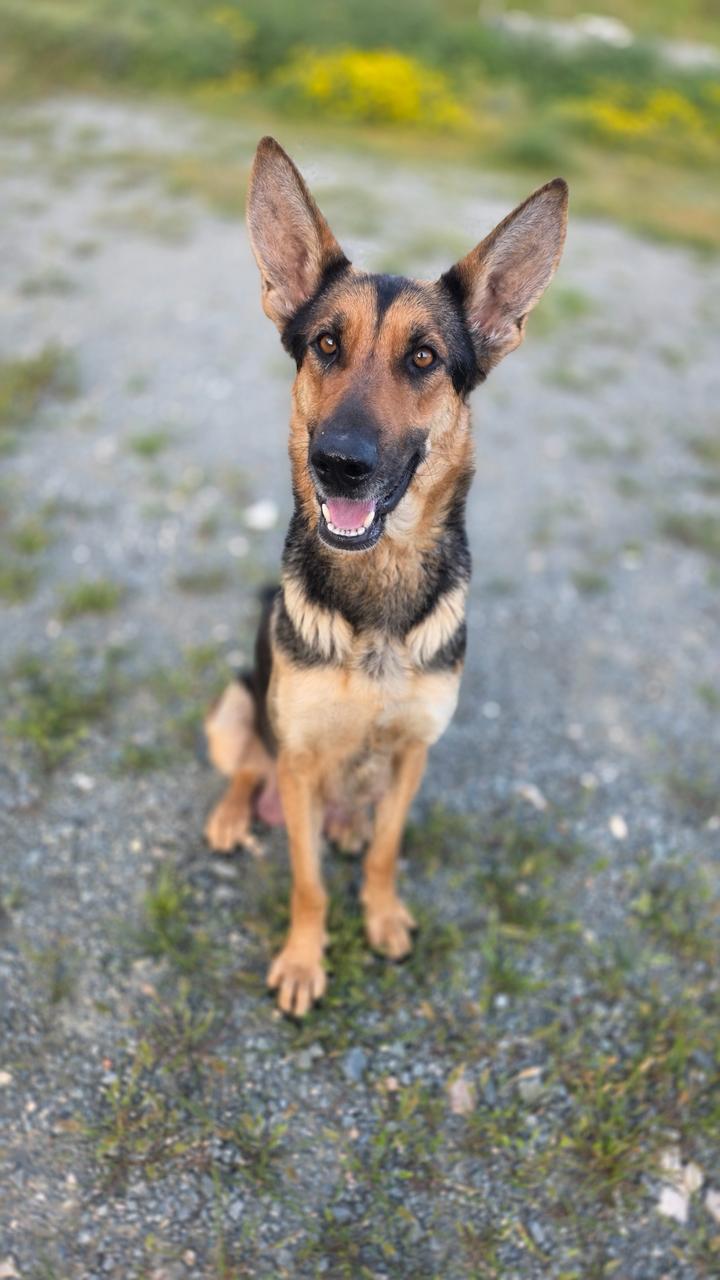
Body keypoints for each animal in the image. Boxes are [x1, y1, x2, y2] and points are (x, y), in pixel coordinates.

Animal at [204, 137, 568, 1015]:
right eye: (325, 346)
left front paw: (381, 915)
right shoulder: (299, 761)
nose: (338, 463)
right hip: (233, 707)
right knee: (249, 764)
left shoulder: (413, 757)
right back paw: (234, 814)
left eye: (424, 358)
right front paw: (305, 960)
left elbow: (384, 850)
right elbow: (307, 882)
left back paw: (347, 821)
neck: (379, 588)